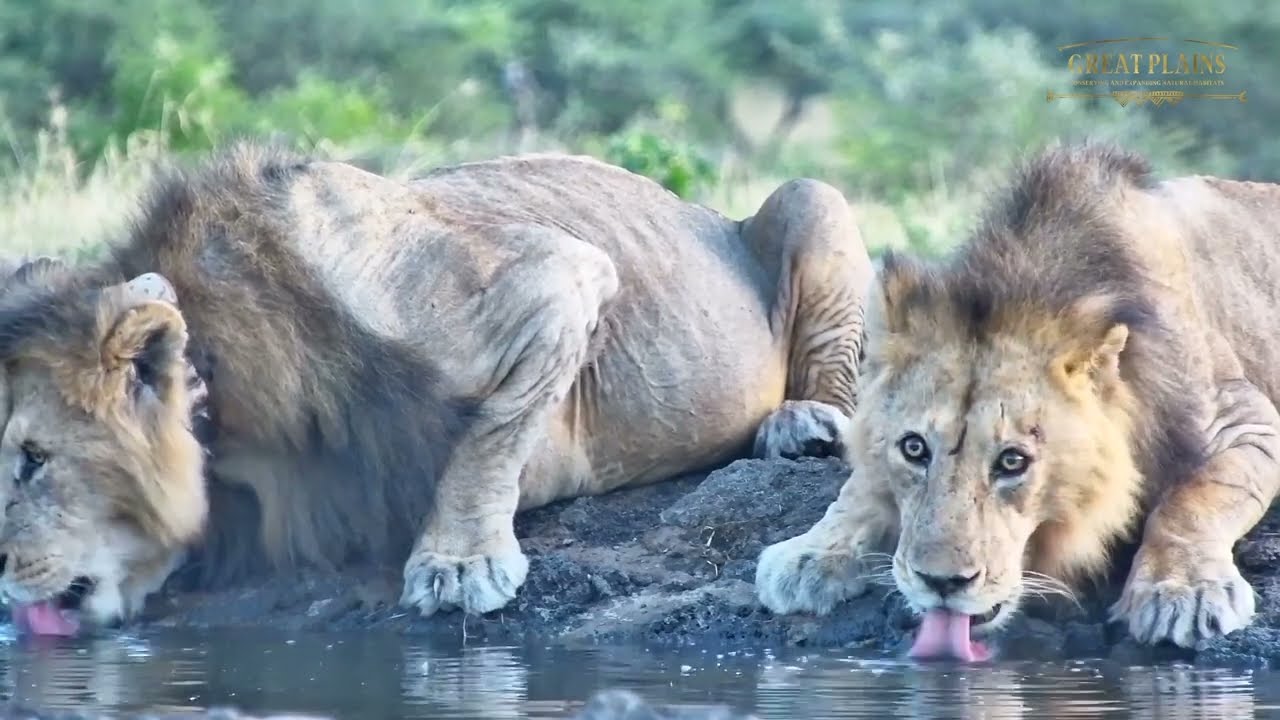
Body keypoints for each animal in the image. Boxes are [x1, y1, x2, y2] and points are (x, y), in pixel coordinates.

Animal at [0, 142, 873, 635]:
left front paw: (457, 565)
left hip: (815, 198)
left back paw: (801, 423)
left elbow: (491, 433)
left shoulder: (556, 278)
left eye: (33, 459)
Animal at [755, 141, 1280, 659]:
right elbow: (860, 487)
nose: (941, 583)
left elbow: (1196, 497)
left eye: (1013, 461)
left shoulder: (1246, 421)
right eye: (913, 448)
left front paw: (1182, 592)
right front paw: (809, 553)